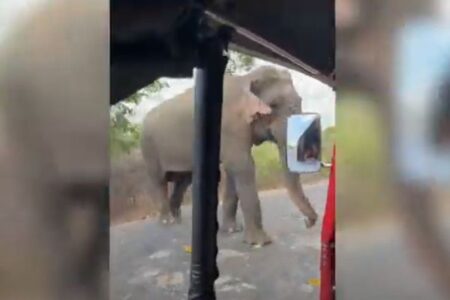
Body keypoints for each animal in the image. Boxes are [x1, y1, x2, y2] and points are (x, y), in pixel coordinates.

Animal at [141, 65, 316, 246]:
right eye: (273, 105)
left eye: (300, 101)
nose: (307, 222)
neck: (246, 79)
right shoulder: (228, 125)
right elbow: (242, 165)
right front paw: (260, 242)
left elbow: (232, 170)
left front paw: (232, 230)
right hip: (149, 147)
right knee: (159, 180)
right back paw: (167, 221)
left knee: (183, 180)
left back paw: (176, 221)